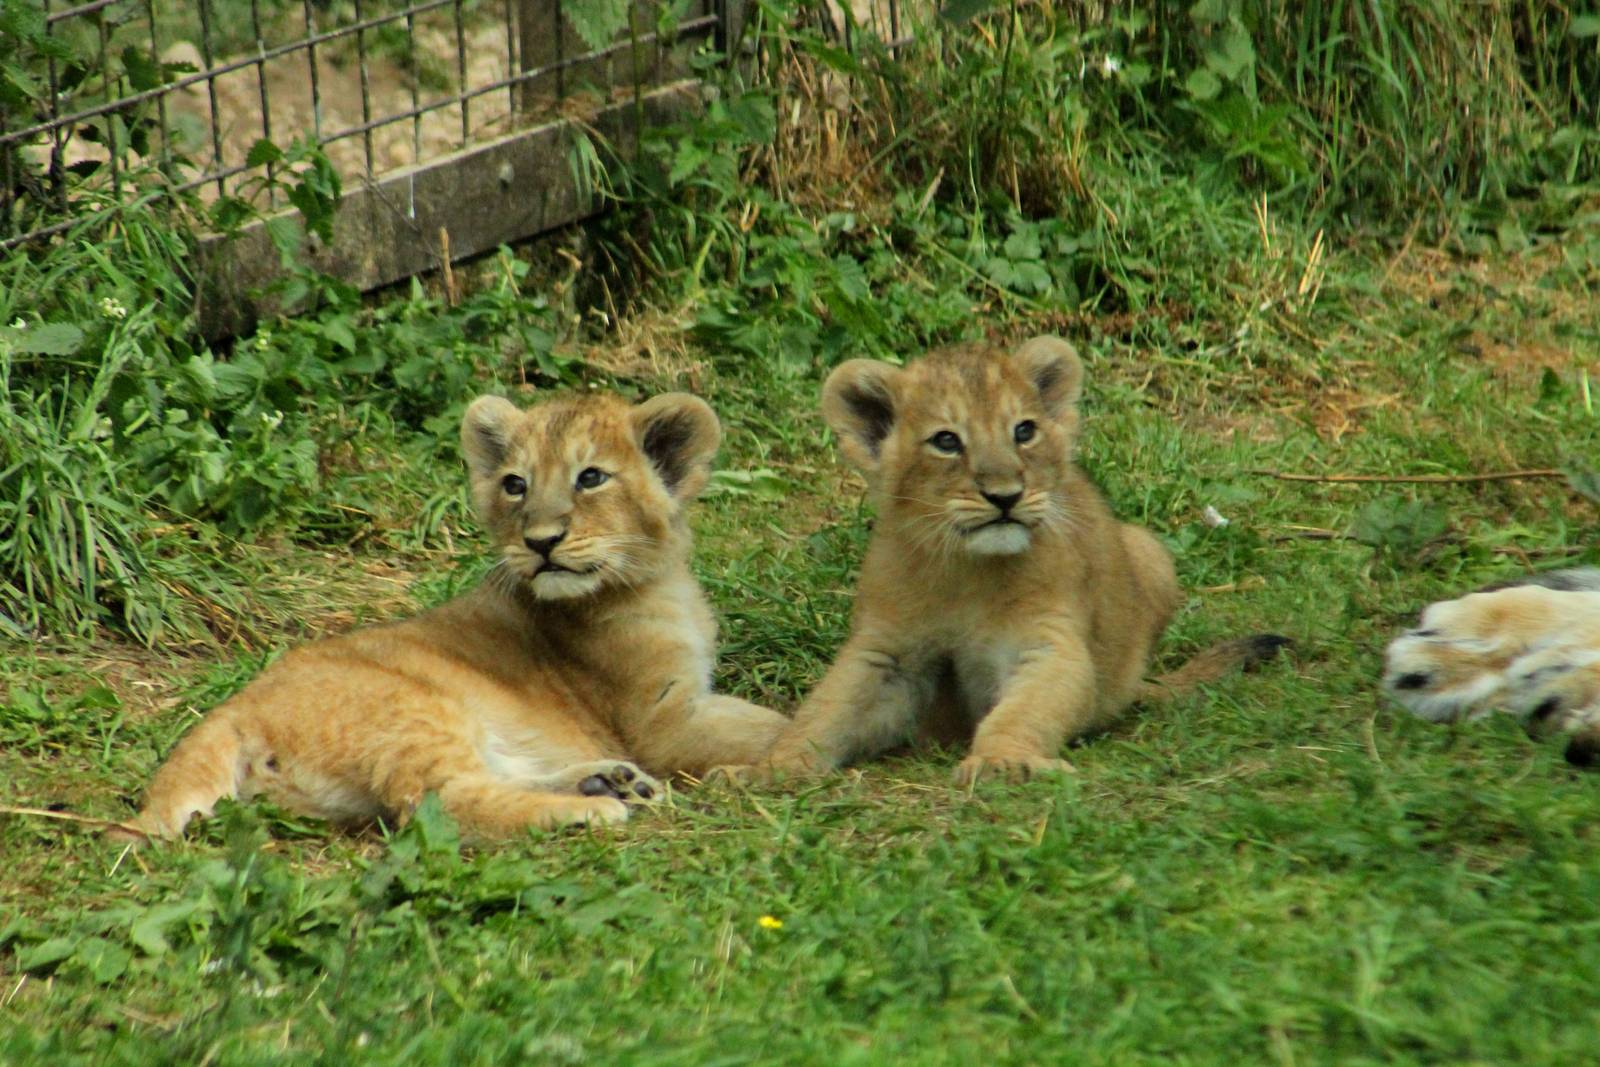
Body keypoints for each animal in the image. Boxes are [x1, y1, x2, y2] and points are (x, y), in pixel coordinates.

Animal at [130, 390, 789, 841]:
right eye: (516, 485)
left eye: (592, 477)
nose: (540, 543)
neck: (659, 580)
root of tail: (233, 707)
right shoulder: (660, 721)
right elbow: (770, 727)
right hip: (416, 711)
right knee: (447, 804)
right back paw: (593, 806)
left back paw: (608, 781)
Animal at [741, 336, 1288, 785]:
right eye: (946, 440)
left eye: (1024, 431)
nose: (1006, 496)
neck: (967, 571)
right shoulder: (886, 650)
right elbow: (826, 711)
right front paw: (770, 768)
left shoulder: (1049, 641)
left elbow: (1025, 710)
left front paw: (1004, 762)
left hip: (1151, 553)